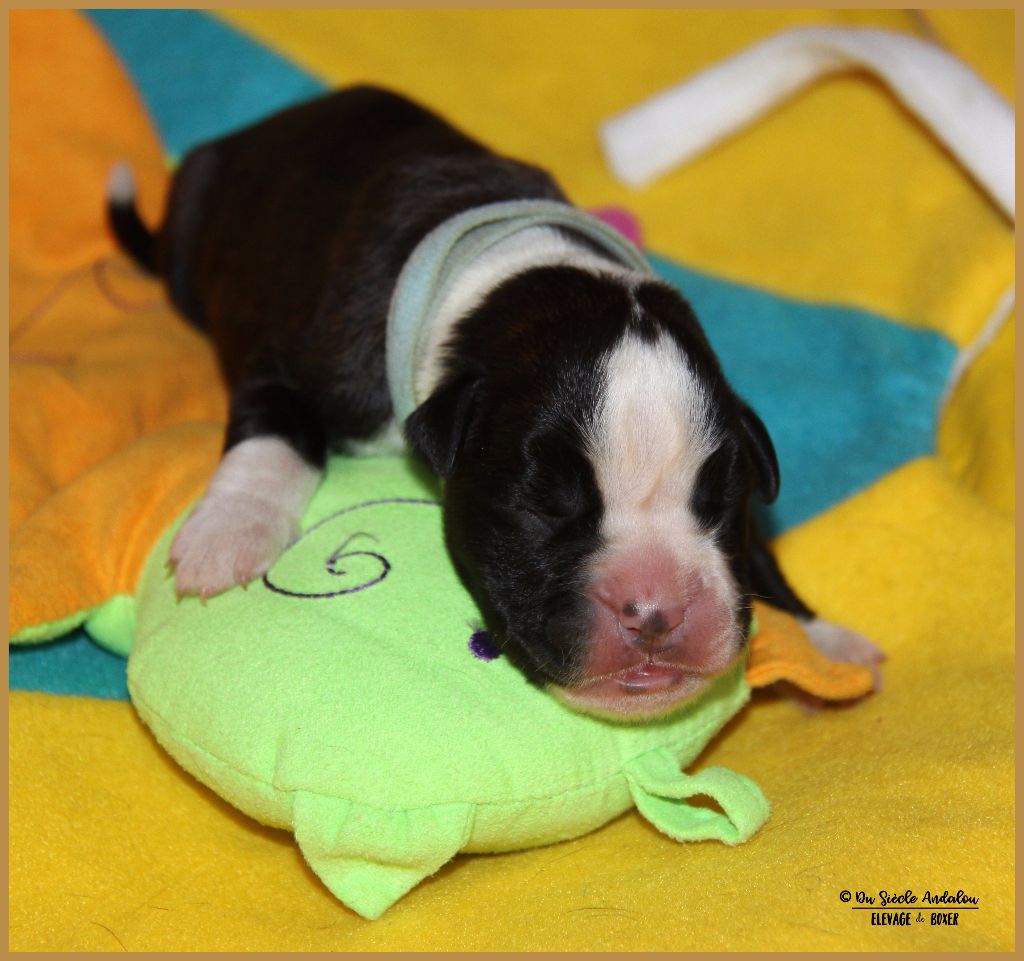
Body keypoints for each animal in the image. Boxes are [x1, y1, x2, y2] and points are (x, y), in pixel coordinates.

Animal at [107, 86, 882, 718]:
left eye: (719, 501)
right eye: (542, 505)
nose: (655, 612)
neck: (502, 273)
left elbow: (760, 552)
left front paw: (824, 639)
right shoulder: (296, 365)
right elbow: (274, 434)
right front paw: (228, 534)